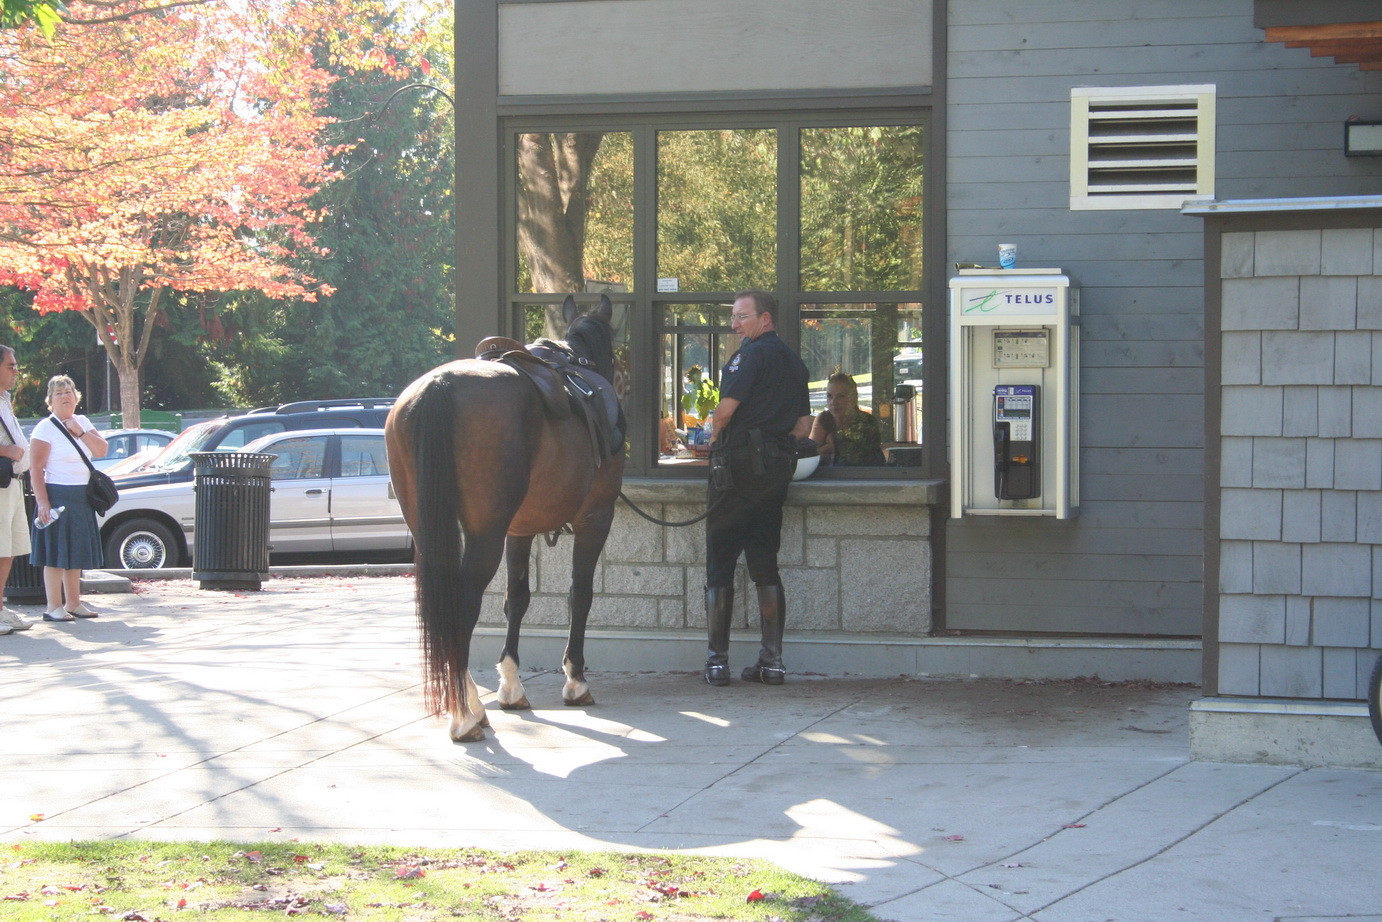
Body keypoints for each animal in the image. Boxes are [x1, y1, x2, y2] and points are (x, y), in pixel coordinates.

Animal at [381, 295, 624, 740]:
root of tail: (440, 387)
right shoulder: (596, 518)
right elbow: (580, 595)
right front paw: (575, 679)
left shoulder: (519, 529)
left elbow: (518, 598)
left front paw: (511, 685)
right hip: (484, 534)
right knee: (463, 601)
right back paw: (465, 714)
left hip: (430, 529)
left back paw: (468, 702)